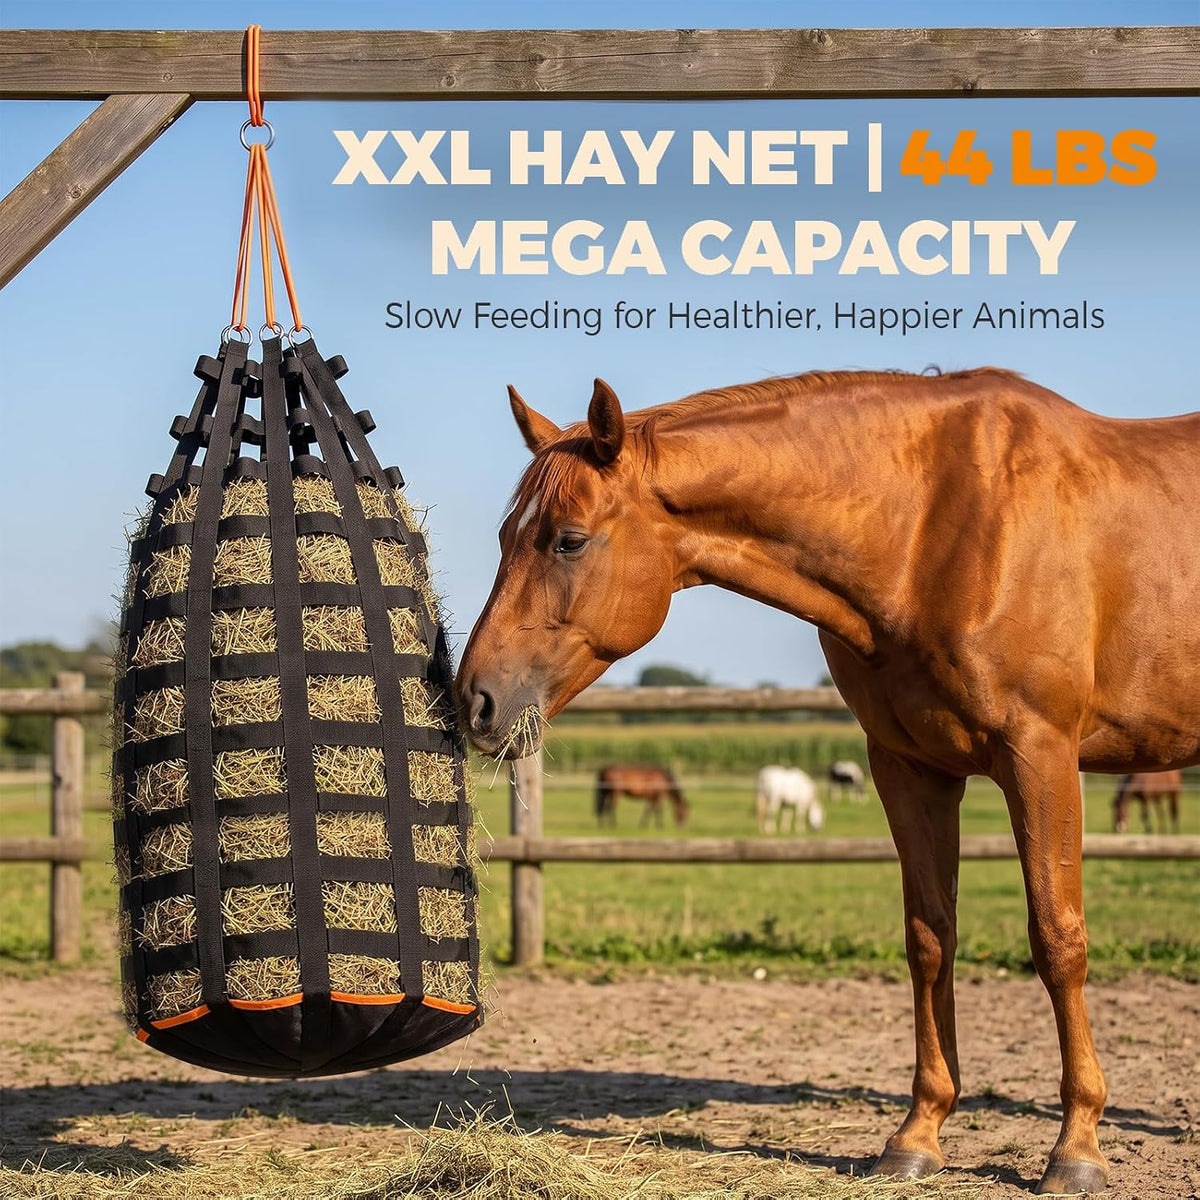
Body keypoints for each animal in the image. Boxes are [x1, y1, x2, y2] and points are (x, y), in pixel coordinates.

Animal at [456, 368, 1200, 1194]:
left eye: (569, 540)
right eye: (504, 537)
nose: (475, 699)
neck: (934, 525)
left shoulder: (1039, 756)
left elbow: (1057, 940)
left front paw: (1076, 1147)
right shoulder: (910, 768)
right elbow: (929, 939)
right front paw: (918, 1135)